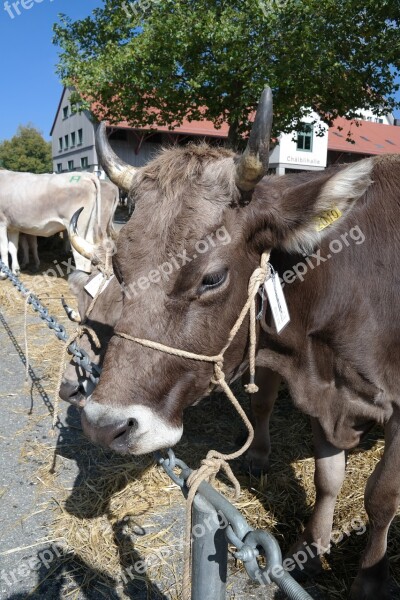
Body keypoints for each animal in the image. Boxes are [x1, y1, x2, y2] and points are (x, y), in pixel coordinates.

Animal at [70, 88, 398, 596]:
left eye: (212, 278)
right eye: (120, 269)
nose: (105, 425)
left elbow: (380, 496)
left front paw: (370, 579)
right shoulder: (324, 393)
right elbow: (327, 477)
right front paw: (311, 546)